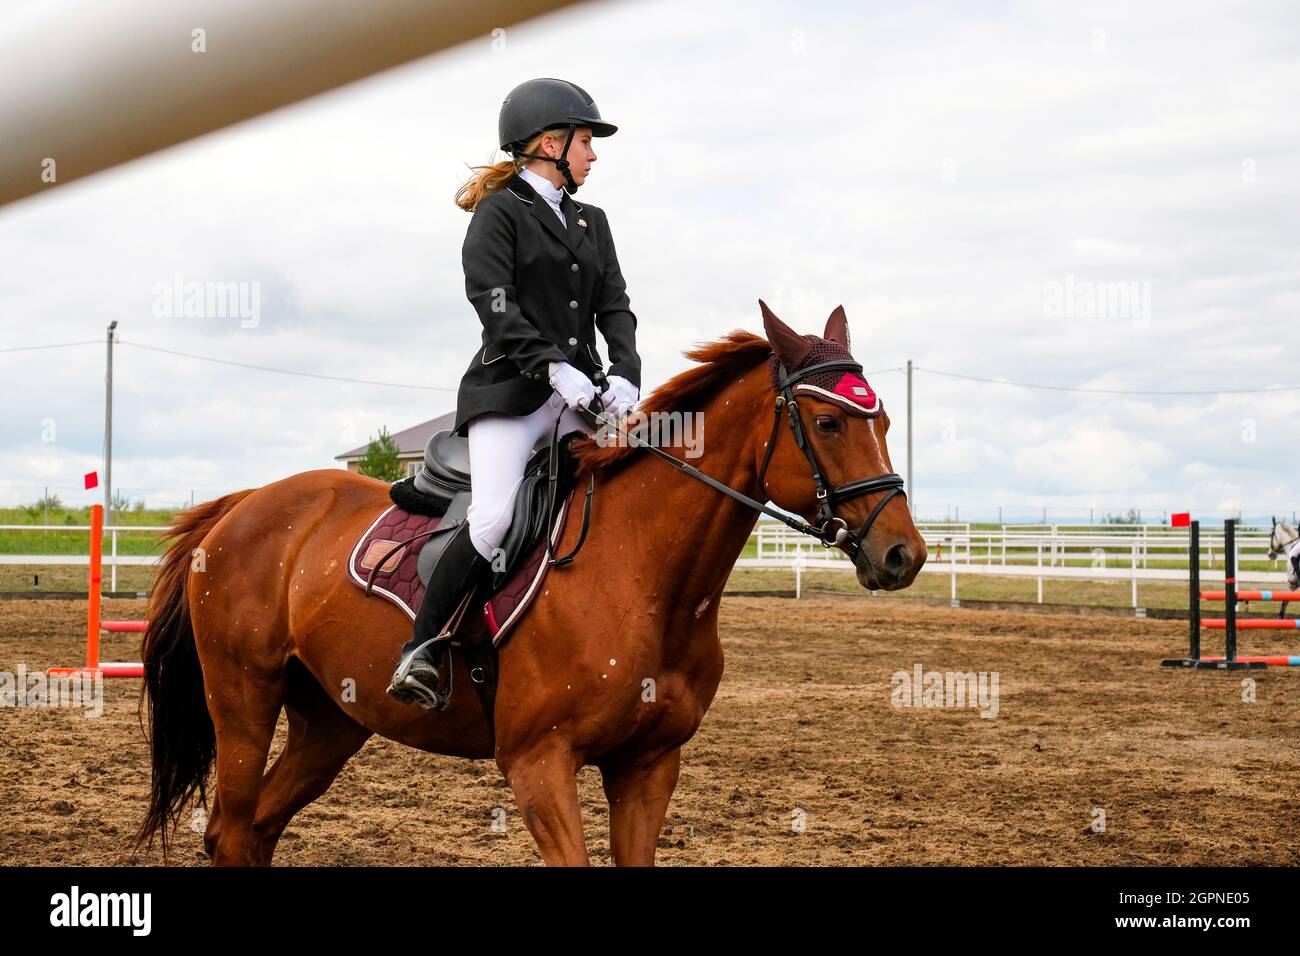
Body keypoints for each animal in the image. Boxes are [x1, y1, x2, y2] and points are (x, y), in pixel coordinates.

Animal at [134, 303, 925, 863]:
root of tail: (243, 505)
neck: (645, 579)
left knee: (256, 832)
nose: (903, 555)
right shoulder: (538, 764)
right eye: (827, 422)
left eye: (885, 419)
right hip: (244, 700)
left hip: (332, 720)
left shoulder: (648, 766)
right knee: (232, 830)